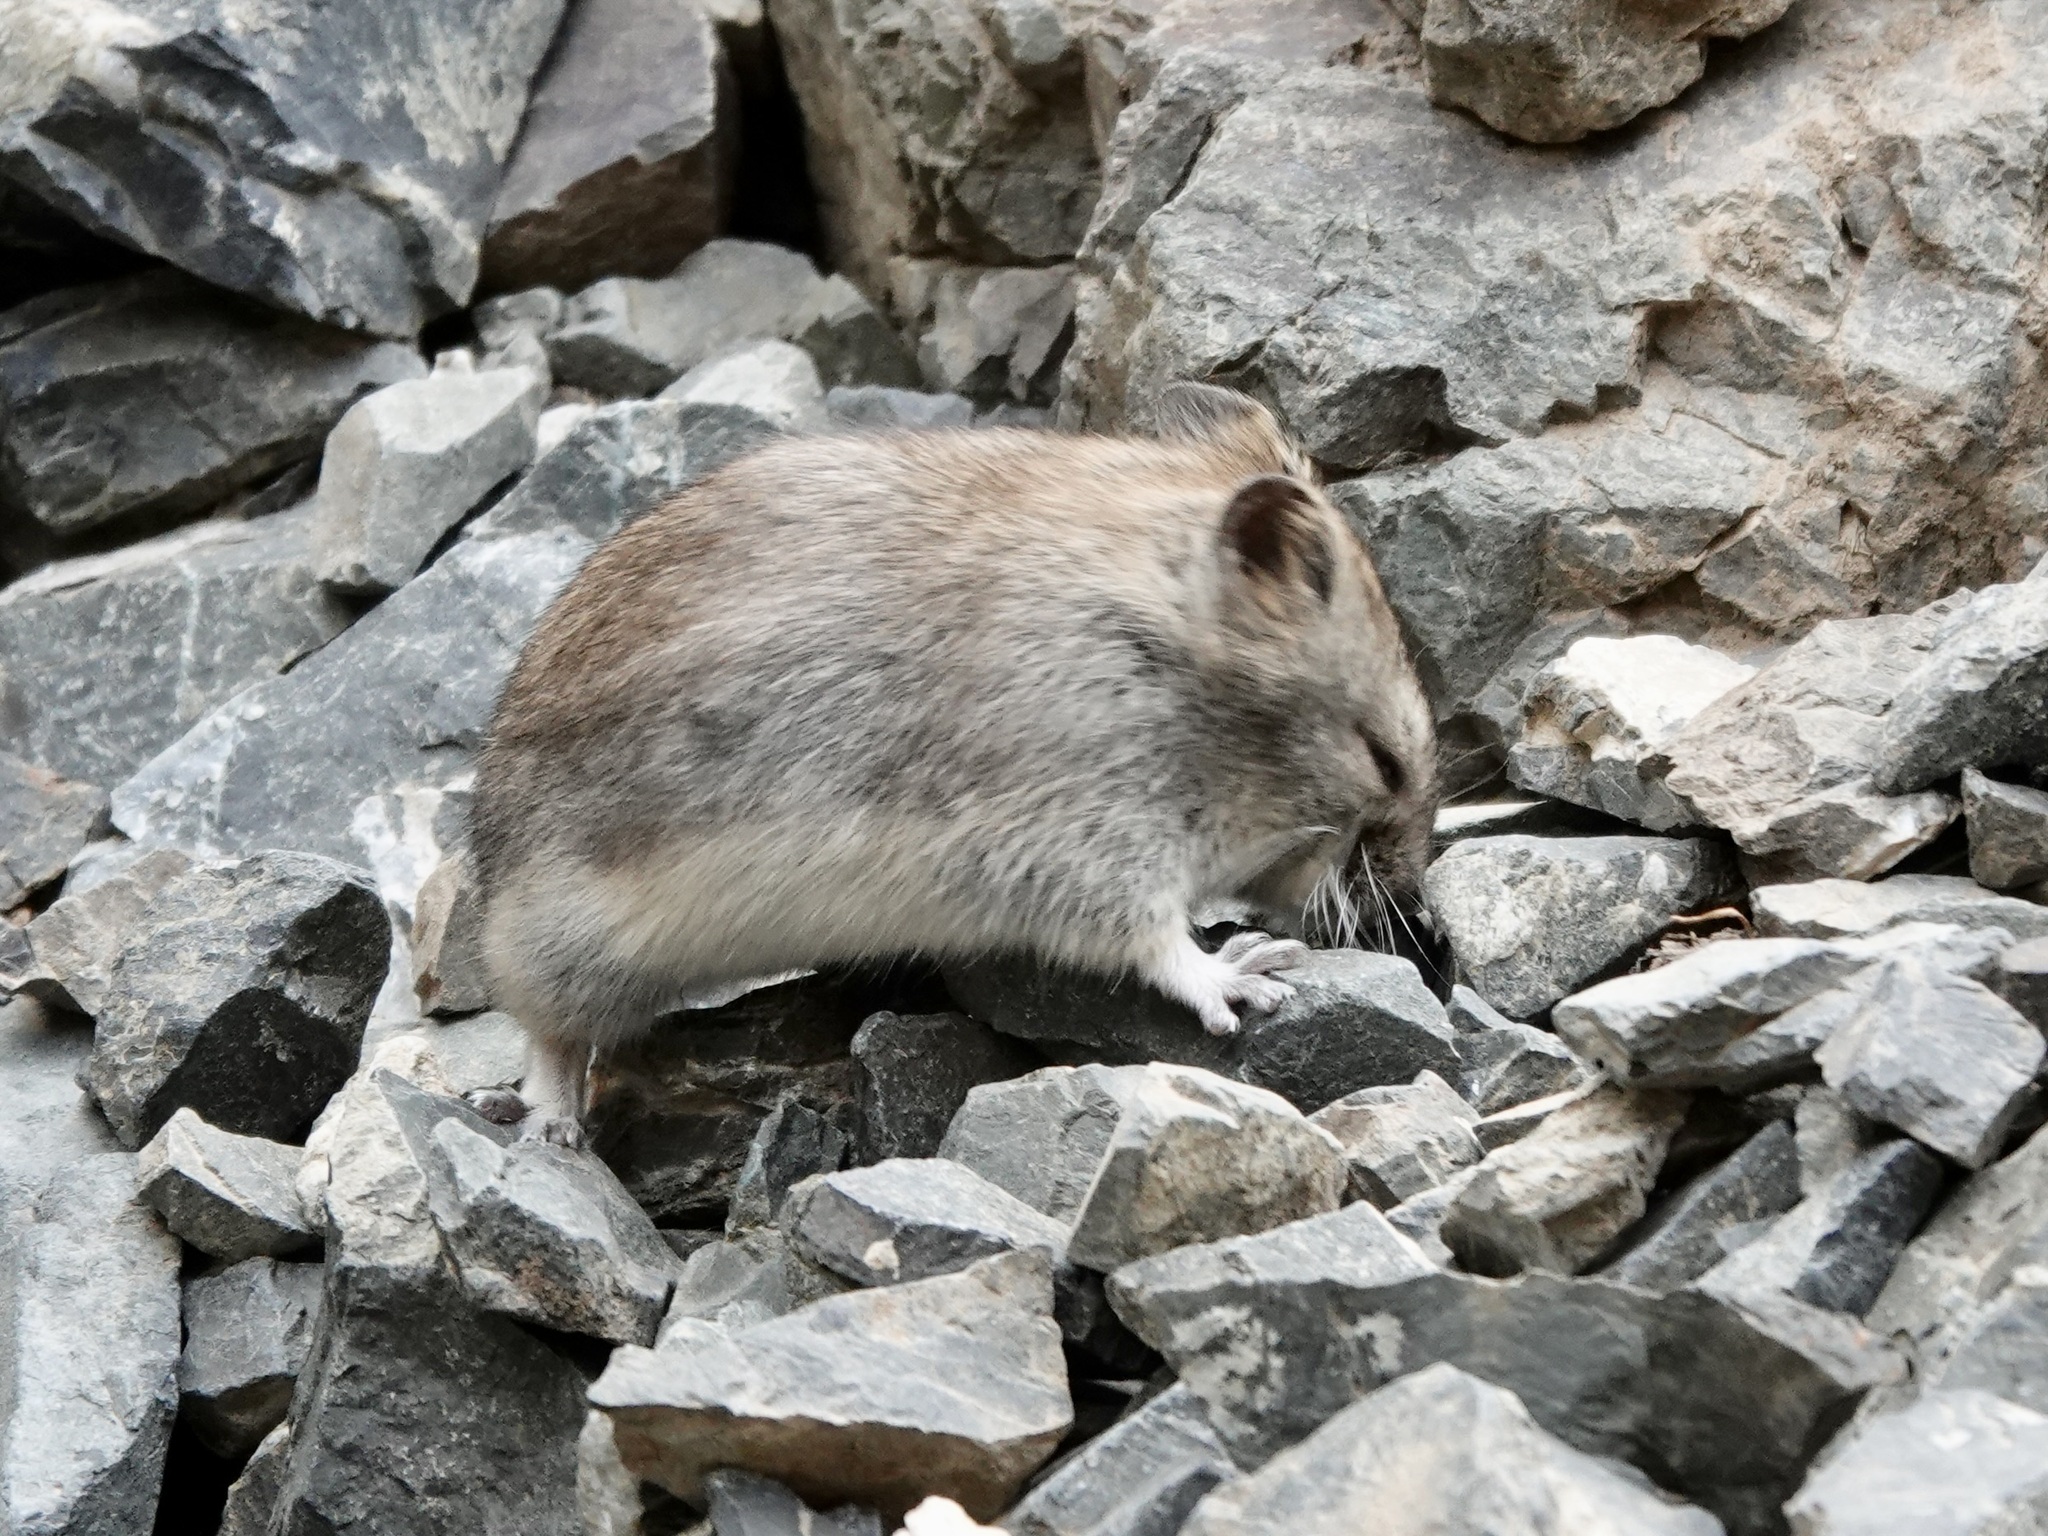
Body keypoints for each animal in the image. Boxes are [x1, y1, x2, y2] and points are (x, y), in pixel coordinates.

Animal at [470, 384, 1439, 1143]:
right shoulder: (1081, 843)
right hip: (576, 948)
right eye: (1385, 760)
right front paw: (1249, 976)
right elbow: (1159, 943)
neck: (1166, 664)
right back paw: (550, 1128)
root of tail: (488, 861)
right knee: (547, 1031)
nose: (1419, 912)